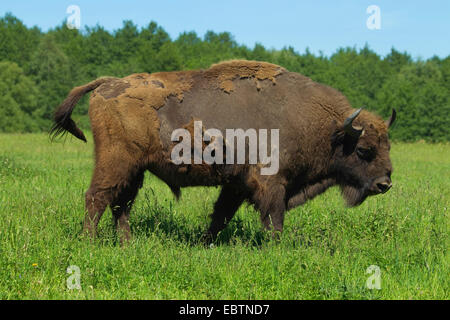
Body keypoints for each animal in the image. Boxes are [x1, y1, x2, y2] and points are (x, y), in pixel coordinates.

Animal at [51, 60, 396, 242]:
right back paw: (89, 242)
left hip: (136, 170)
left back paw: (127, 243)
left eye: (387, 145)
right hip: (116, 162)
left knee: (121, 204)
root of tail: (108, 84)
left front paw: (205, 244)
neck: (327, 128)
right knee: (97, 197)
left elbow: (221, 215)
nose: (385, 183)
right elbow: (274, 219)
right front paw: (276, 248)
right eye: (364, 150)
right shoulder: (272, 184)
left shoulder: (236, 185)